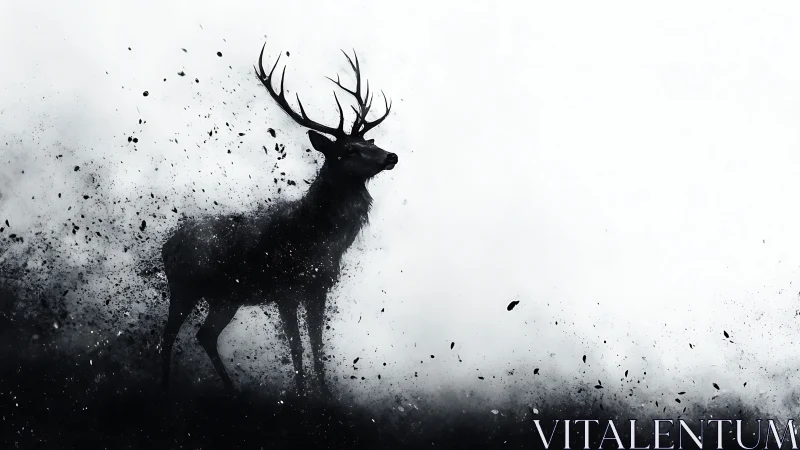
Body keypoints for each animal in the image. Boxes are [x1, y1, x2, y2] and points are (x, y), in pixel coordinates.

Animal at [158, 43, 396, 399]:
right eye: (349, 150)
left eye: (371, 141)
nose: (391, 156)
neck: (317, 238)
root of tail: (165, 245)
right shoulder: (285, 288)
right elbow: (296, 346)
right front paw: (301, 396)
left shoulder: (318, 287)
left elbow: (316, 345)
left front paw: (326, 396)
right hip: (184, 286)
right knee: (167, 336)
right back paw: (164, 389)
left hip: (226, 297)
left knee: (205, 334)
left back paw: (233, 392)